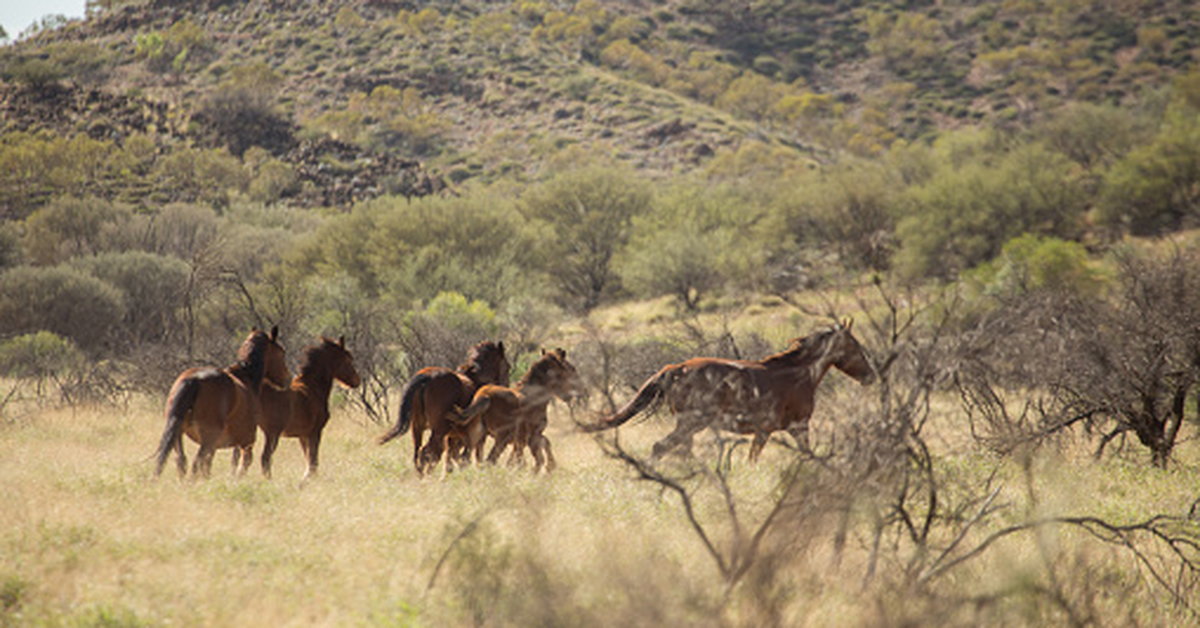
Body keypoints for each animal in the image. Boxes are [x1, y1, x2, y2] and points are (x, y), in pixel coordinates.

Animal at [156, 326, 289, 480]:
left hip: (179, 435)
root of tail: (193, 380)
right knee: (196, 463)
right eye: (282, 352)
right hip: (207, 440)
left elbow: (209, 467)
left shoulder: (218, 447)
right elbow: (241, 465)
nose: (287, 378)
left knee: (182, 462)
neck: (247, 379)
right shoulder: (246, 442)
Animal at [255, 336, 357, 480]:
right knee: (265, 458)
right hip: (272, 434)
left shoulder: (303, 435)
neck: (313, 387)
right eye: (348, 359)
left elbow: (308, 460)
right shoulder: (315, 432)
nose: (357, 381)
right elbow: (313, 461)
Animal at [379, 341, 511, 475]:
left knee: (419, 454)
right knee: (427, 454)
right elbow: (467, 457)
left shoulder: (452, 437)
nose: (506, 386)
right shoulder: (472, 436)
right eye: (508, 367)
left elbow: (451, 458)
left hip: (417, 427)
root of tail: (428, 376)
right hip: (438, 430)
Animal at [588, 319, 878, 461]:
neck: (797, 375)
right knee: (661, 447)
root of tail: (676, 368)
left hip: (688, 425)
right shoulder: (788, 428)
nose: (871, 376)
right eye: (854, 346)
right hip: (692, 422)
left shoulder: (779, 431)